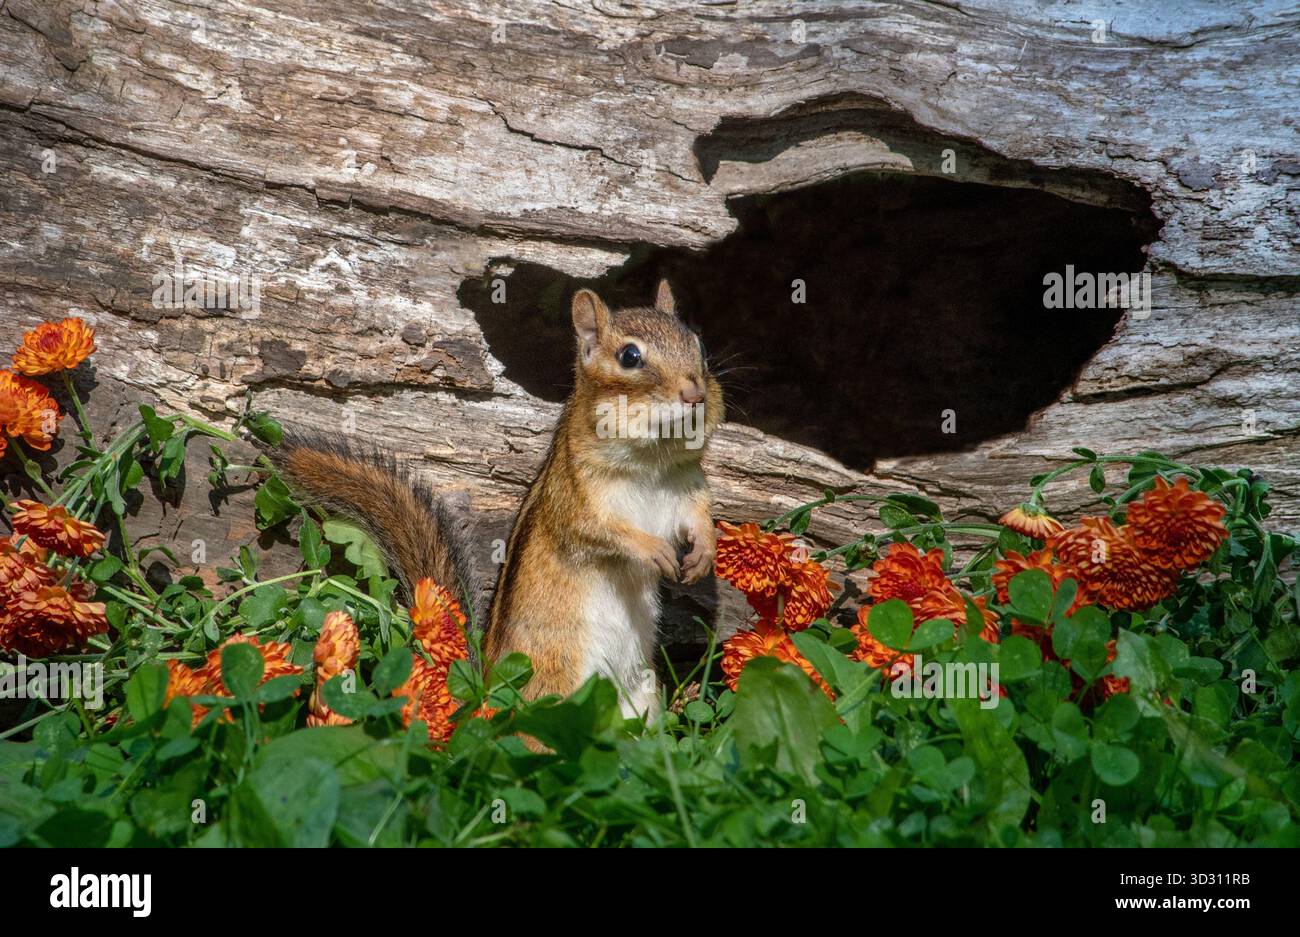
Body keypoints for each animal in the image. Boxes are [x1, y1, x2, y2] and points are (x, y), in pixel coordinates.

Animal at [274, 280, 723, 717]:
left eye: (699, 344)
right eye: (630, 356)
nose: (694, 394)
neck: (652, 461)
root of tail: (481, 698)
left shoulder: (688, 487)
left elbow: (700, 518)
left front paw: (703, 552)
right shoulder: (577, 498)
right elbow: (601, 531)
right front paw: (654, 549)